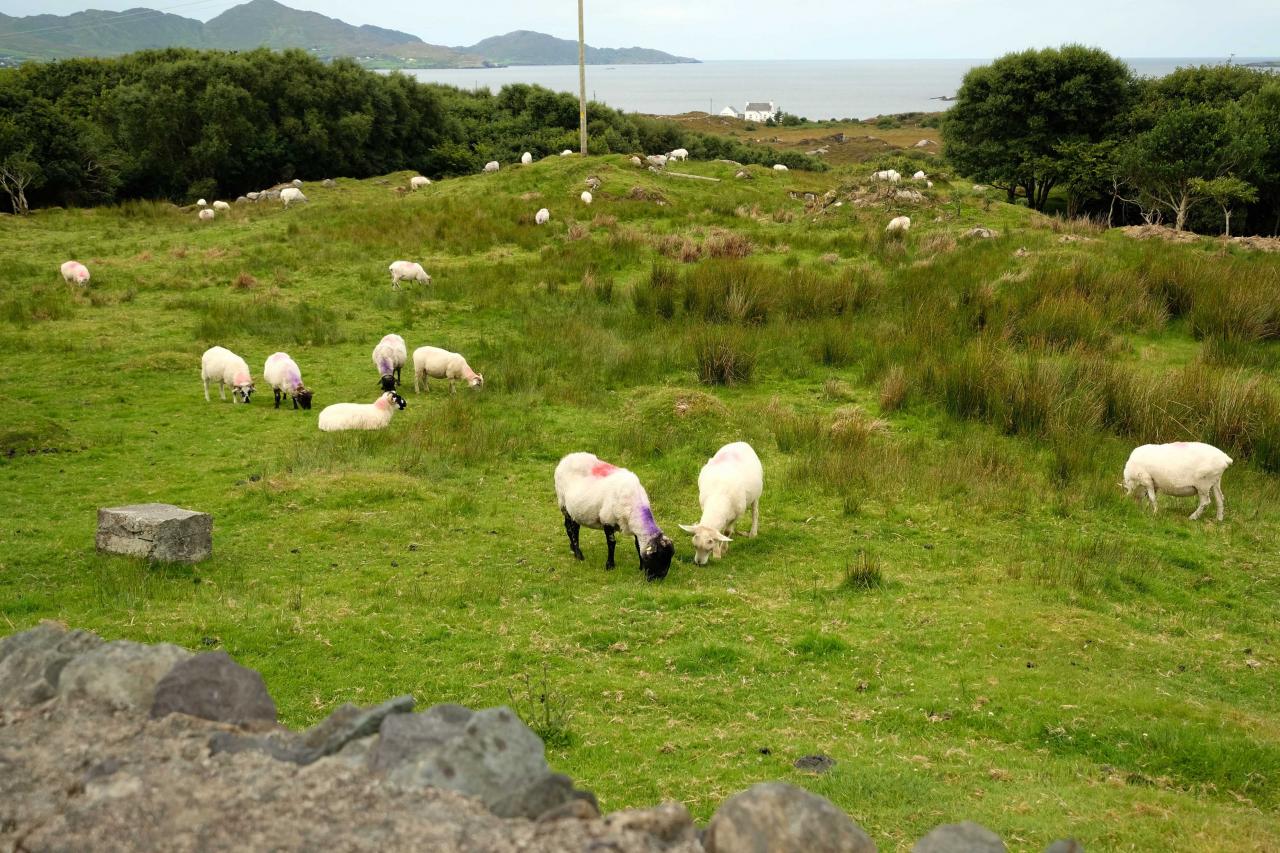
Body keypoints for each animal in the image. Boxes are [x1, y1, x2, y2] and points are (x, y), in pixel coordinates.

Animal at [560, 448, 680, 581]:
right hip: (563, 504)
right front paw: (610, 565)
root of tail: (569, 456)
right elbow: (612, 543)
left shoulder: (633, 526)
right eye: (658, 558)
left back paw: (573, 548)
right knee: (570, 528)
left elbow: (637, 545)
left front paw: (641, 566)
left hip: (575, 510)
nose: (658, 579)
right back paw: (578, 554)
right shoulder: (607, 519)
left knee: (575, 528)